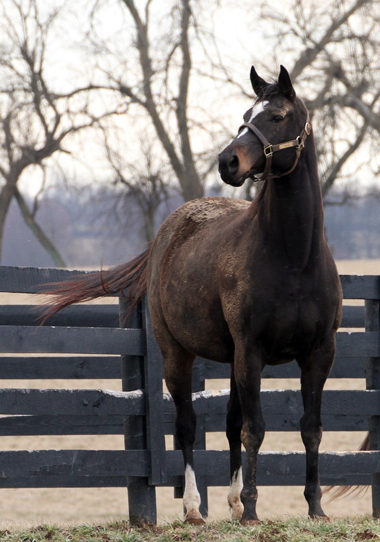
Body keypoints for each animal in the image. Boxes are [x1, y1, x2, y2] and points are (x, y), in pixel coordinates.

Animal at [46, 65, 342, 528]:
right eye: (245, 115)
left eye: (276, 116)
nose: (228, 162)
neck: (293, 257)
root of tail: (166, 233)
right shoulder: (252, 351)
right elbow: (255, 428)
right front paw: (252, 510)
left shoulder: (318, 353)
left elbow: (309, 427)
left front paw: (314, 507)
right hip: (179, 353)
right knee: (186, 424)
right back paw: (193, 508)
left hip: (235, 359)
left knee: (230, 421)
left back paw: (231, 501)